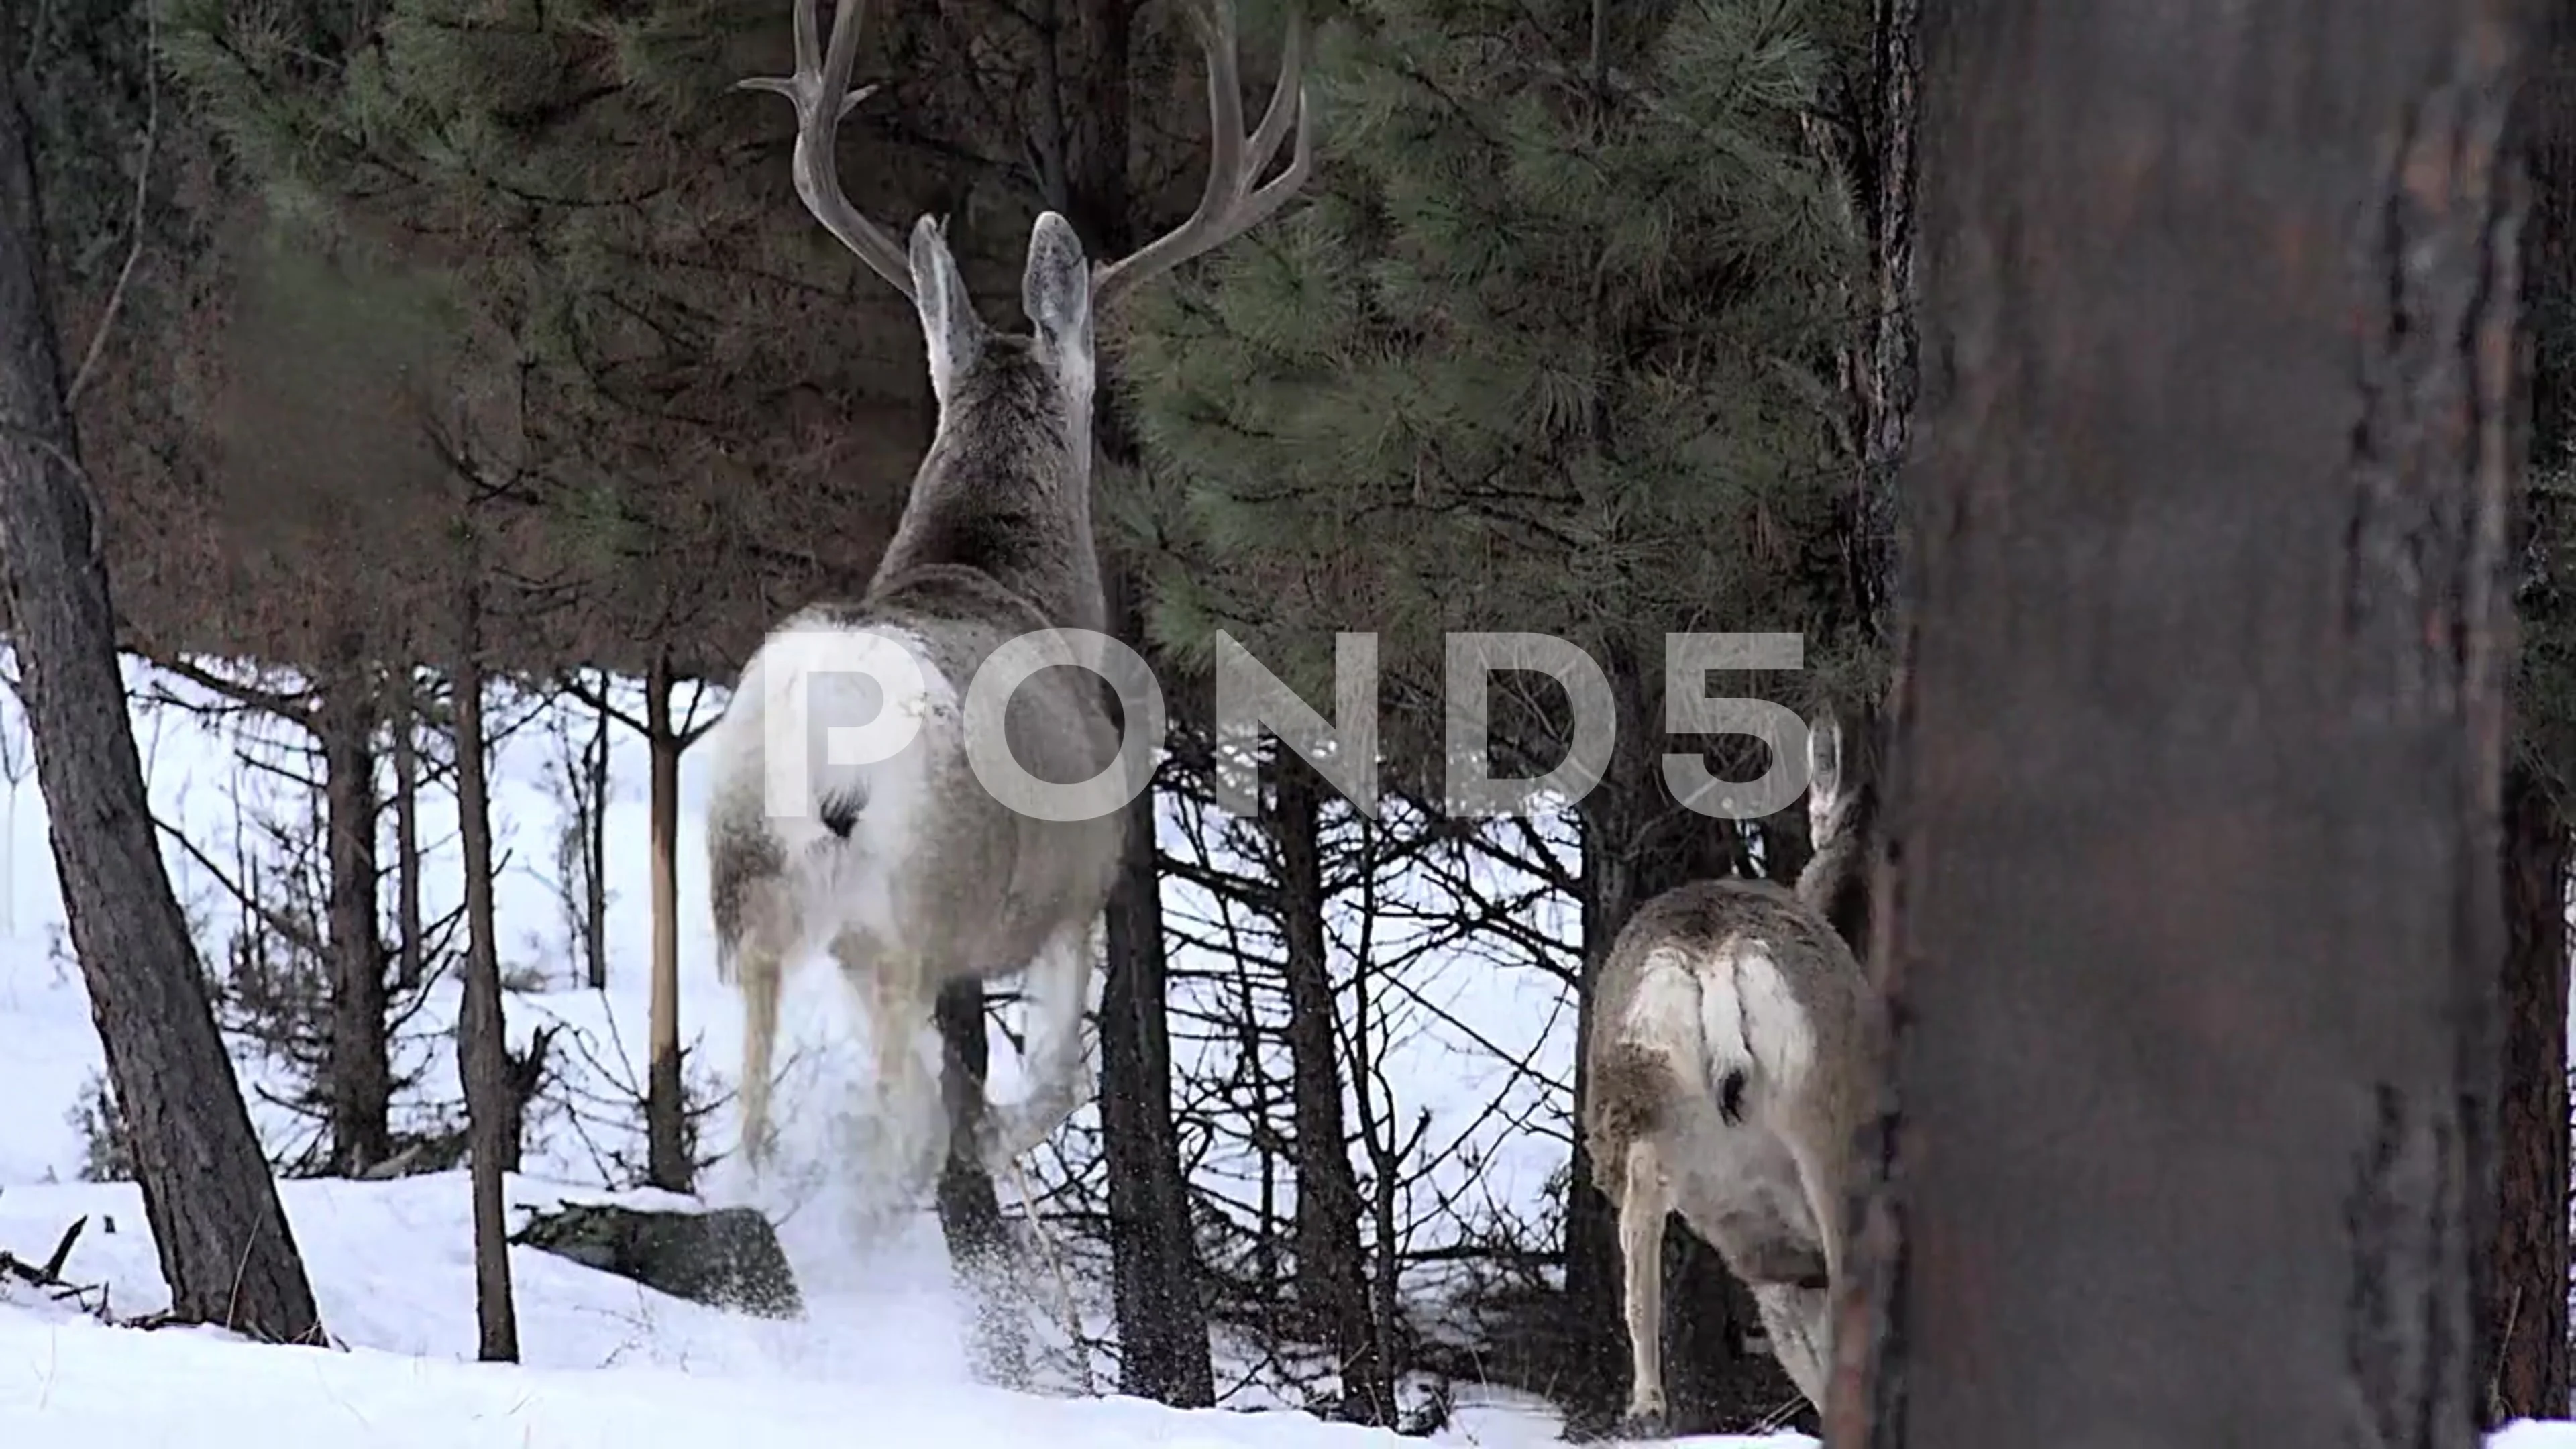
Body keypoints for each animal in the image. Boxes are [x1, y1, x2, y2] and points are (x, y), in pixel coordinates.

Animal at [700, 0, 1313, 1199]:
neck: (997, 572)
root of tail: (818, 741)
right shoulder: (1081, 881)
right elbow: (1053, 1083)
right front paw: (1007, 1146)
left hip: (744, 890)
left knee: (749, 1128)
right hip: (915, 902)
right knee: (896, 1133)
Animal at [1581, 715, 1883, 1430]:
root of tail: (1714, 952)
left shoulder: (1780, 1266)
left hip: (1638, 1084)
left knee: (1640, 1213)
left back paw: (1647, 1407)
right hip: (1823, 1108)